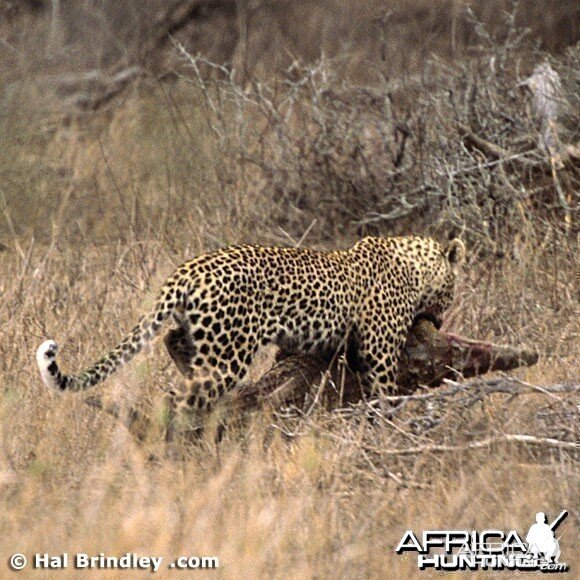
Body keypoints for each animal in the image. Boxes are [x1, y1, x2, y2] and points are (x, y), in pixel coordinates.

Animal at [36, 236, 464, 422]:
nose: (440, 320)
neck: (413, 264)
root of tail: (186, 269)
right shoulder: (379, 350)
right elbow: (387, 393)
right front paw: (392, 426)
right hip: (229, 352)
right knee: (182, 399)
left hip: (204, 335)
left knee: (175, 343)